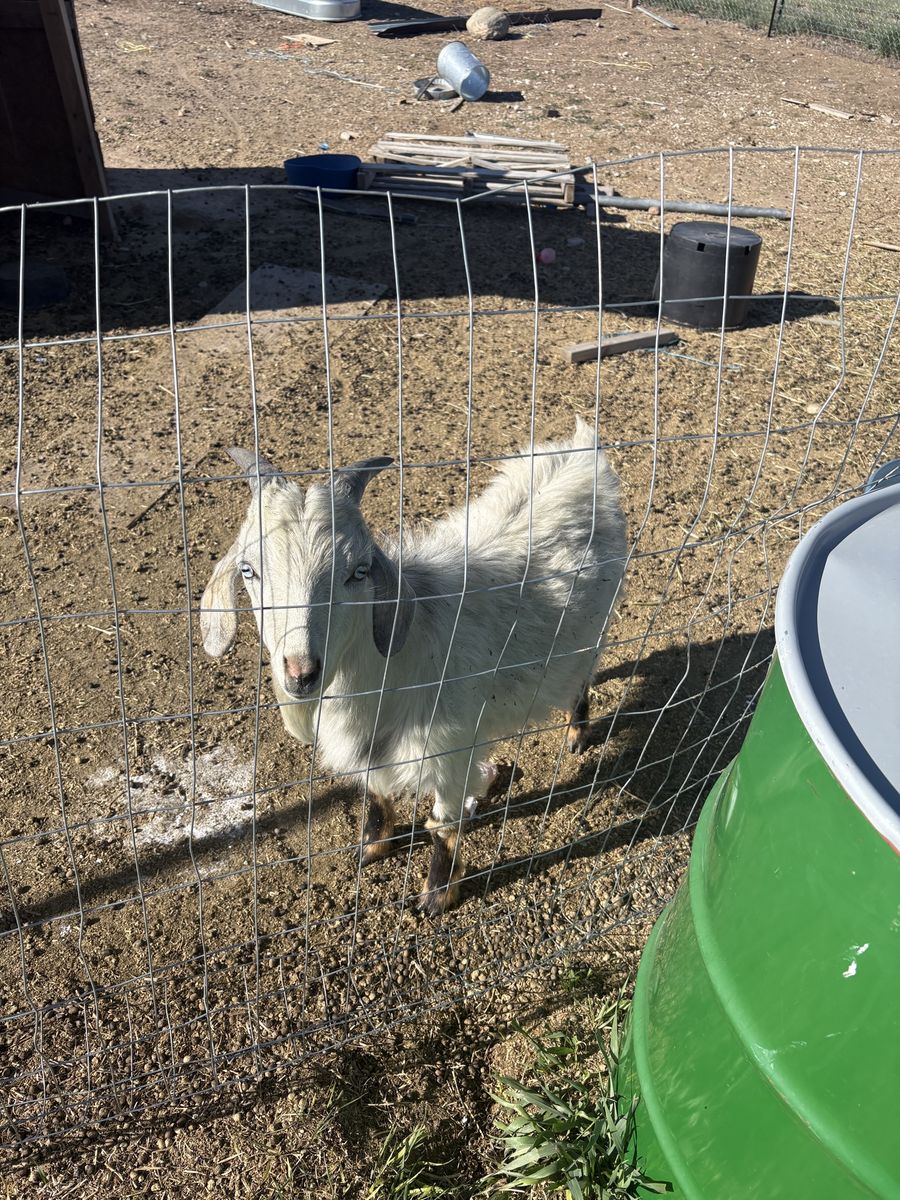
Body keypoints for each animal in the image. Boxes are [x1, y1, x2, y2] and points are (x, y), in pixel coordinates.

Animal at [200, 418, 627, 915]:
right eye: (248, 570)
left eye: (359, 572)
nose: (300, 673)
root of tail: (582, 446)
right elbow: (377, 794)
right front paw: (373, 846)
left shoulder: (452, 751)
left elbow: (444, 826)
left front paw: (437, 895)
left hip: (596, 626)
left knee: (582, 676)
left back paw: (577, 732)